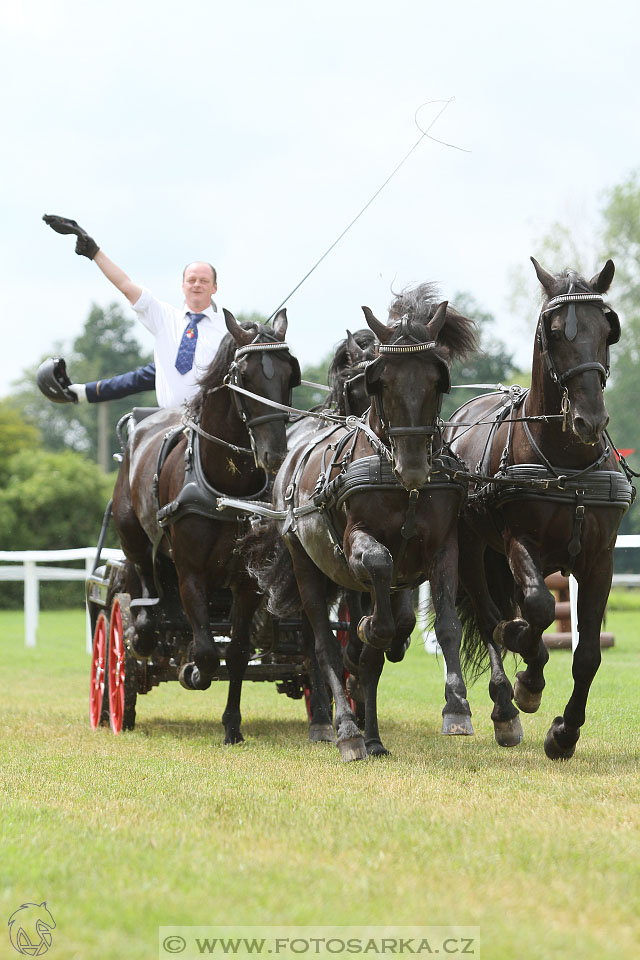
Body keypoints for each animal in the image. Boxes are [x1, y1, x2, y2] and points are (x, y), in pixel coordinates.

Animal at [448, 258, 632, 760]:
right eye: (553, 331)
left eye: (607, 328)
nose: (590, 420)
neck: (566, 461)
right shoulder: (519, 542)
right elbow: (537, 607)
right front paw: (527, 677)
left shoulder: (600, 559)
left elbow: (587, 653)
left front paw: (564, 732)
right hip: (473, 549)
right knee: (489, 614)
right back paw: (504, 706)